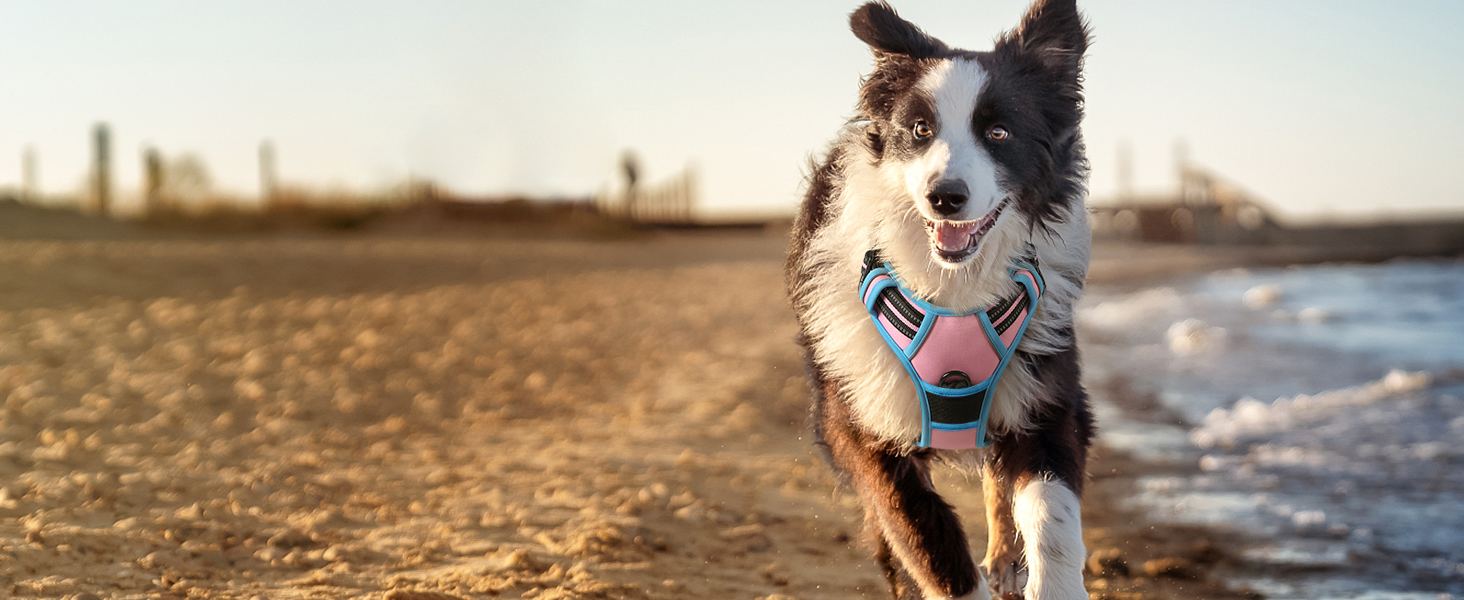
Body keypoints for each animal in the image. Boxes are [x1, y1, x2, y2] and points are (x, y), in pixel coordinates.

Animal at [784, 2, 1095, 597]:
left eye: (998, 131)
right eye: (920, 130)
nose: (944, 197)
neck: (954, 290)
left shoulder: (1044, 398)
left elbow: (1054, 515)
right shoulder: (863, 427)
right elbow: (924, 534)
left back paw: (1004, 558)